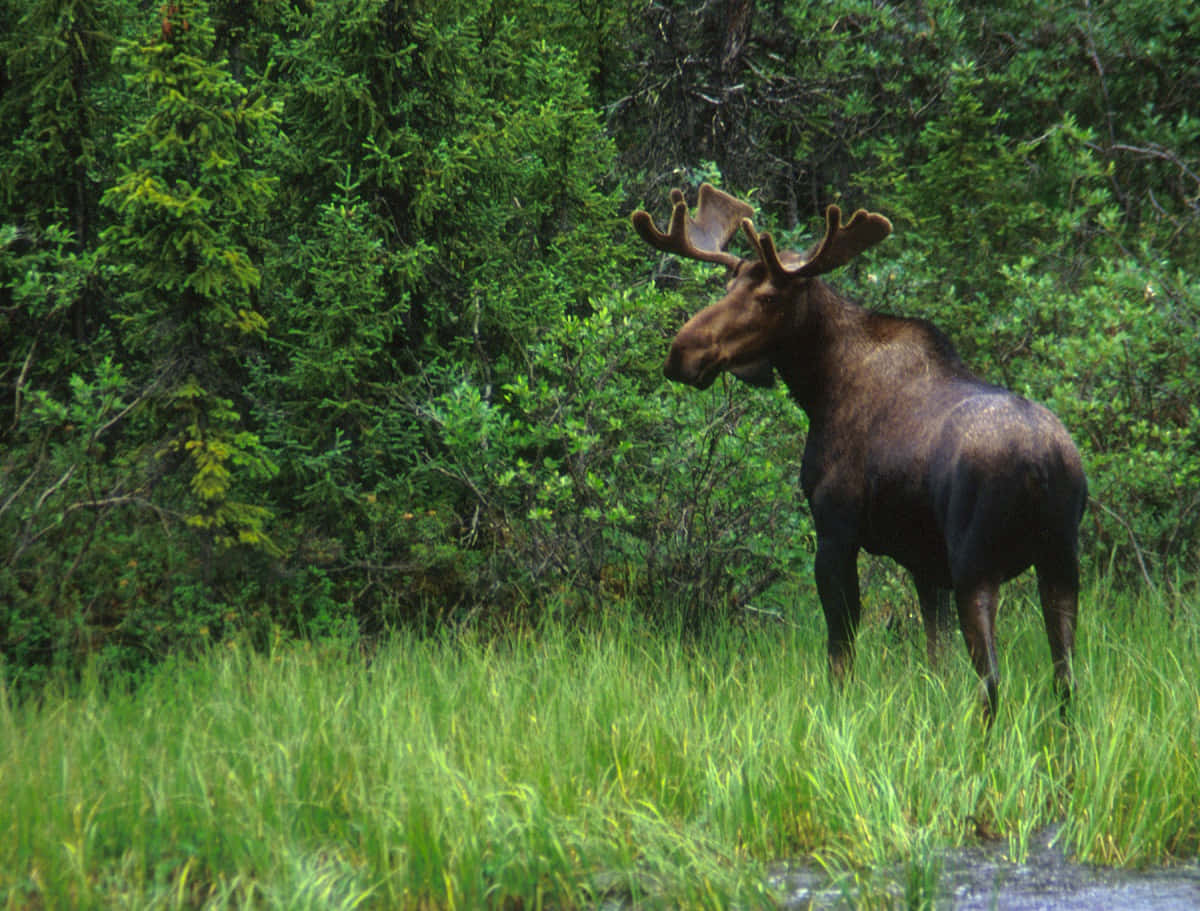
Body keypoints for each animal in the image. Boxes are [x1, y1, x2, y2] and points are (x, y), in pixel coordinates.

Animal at [638, 184, 1089, 724]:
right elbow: (935, 659)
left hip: (977, 564)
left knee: (992, 681)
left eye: (767, 297)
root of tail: (1044, 464)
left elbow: (841, 651)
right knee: (1066, 679)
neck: (819, 386)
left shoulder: (837, 530)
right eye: (727, 288)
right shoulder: (925, 562)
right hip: (1061, 560)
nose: (681, 353)